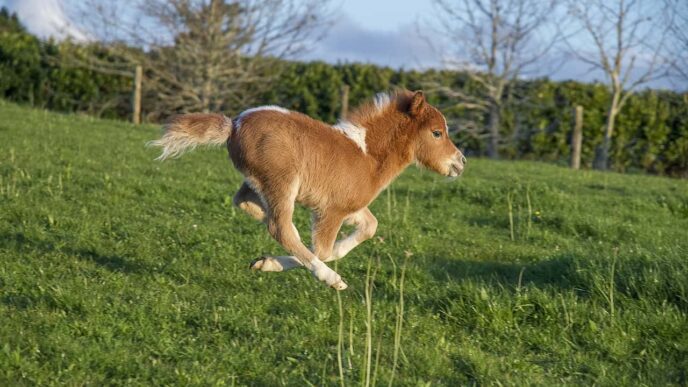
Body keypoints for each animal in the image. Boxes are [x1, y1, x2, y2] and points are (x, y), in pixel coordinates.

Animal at [150, 90, 462, 292]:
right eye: (437, 133)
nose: (460, 162)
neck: (367, 156)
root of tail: (234, 124)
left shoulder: (351, 207)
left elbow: (368, 228)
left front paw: (266, 262)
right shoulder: (331, 211)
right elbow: (322, 251)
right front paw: (311, 269)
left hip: (260, 181)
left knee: (245, 203)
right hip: (282, 181)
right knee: (280, 228)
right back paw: (329, 277)